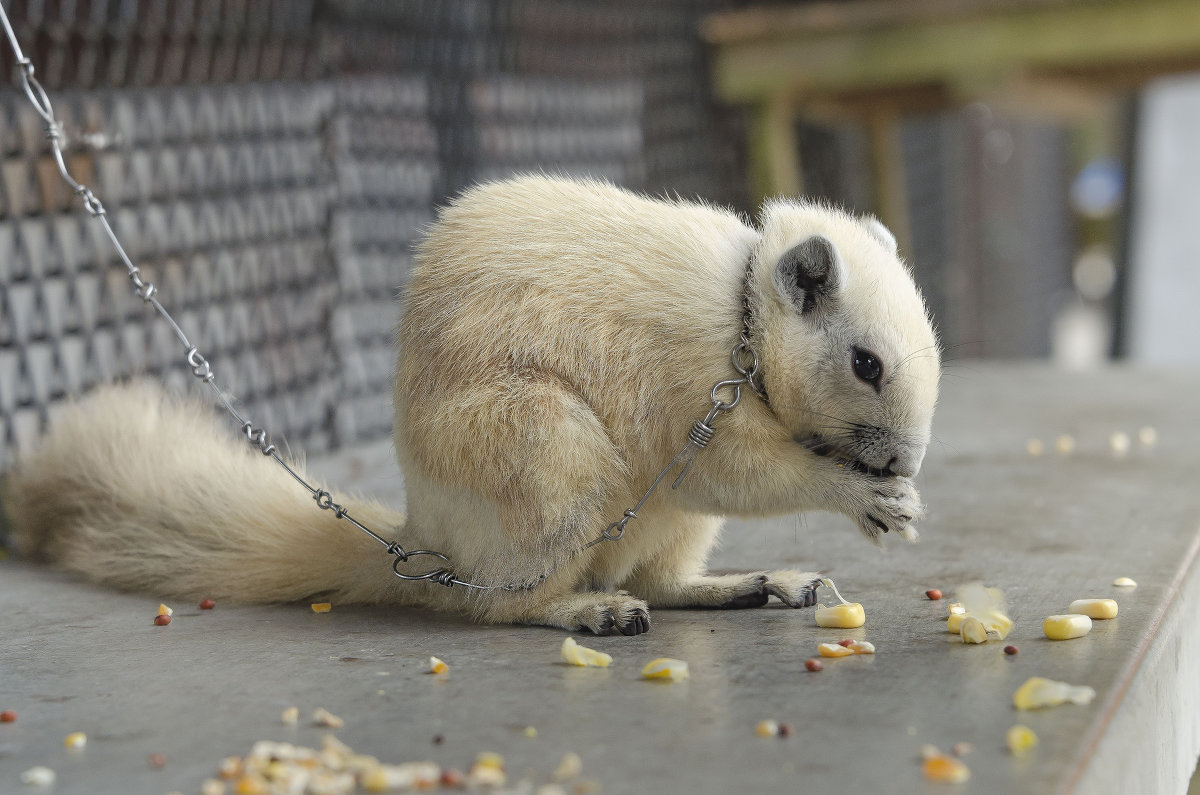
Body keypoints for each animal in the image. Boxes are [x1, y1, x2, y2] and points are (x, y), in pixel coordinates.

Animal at [0, 174, 936, 634]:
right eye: (865, 363)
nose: (904, 459)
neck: (741, 314)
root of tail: (435, 547)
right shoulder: (688, 390)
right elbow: (742, 472)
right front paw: (868, 497)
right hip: (547, 453)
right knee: (506, 606)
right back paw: (586, 609)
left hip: (655, 517)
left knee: (661, 581)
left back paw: (754, 584)